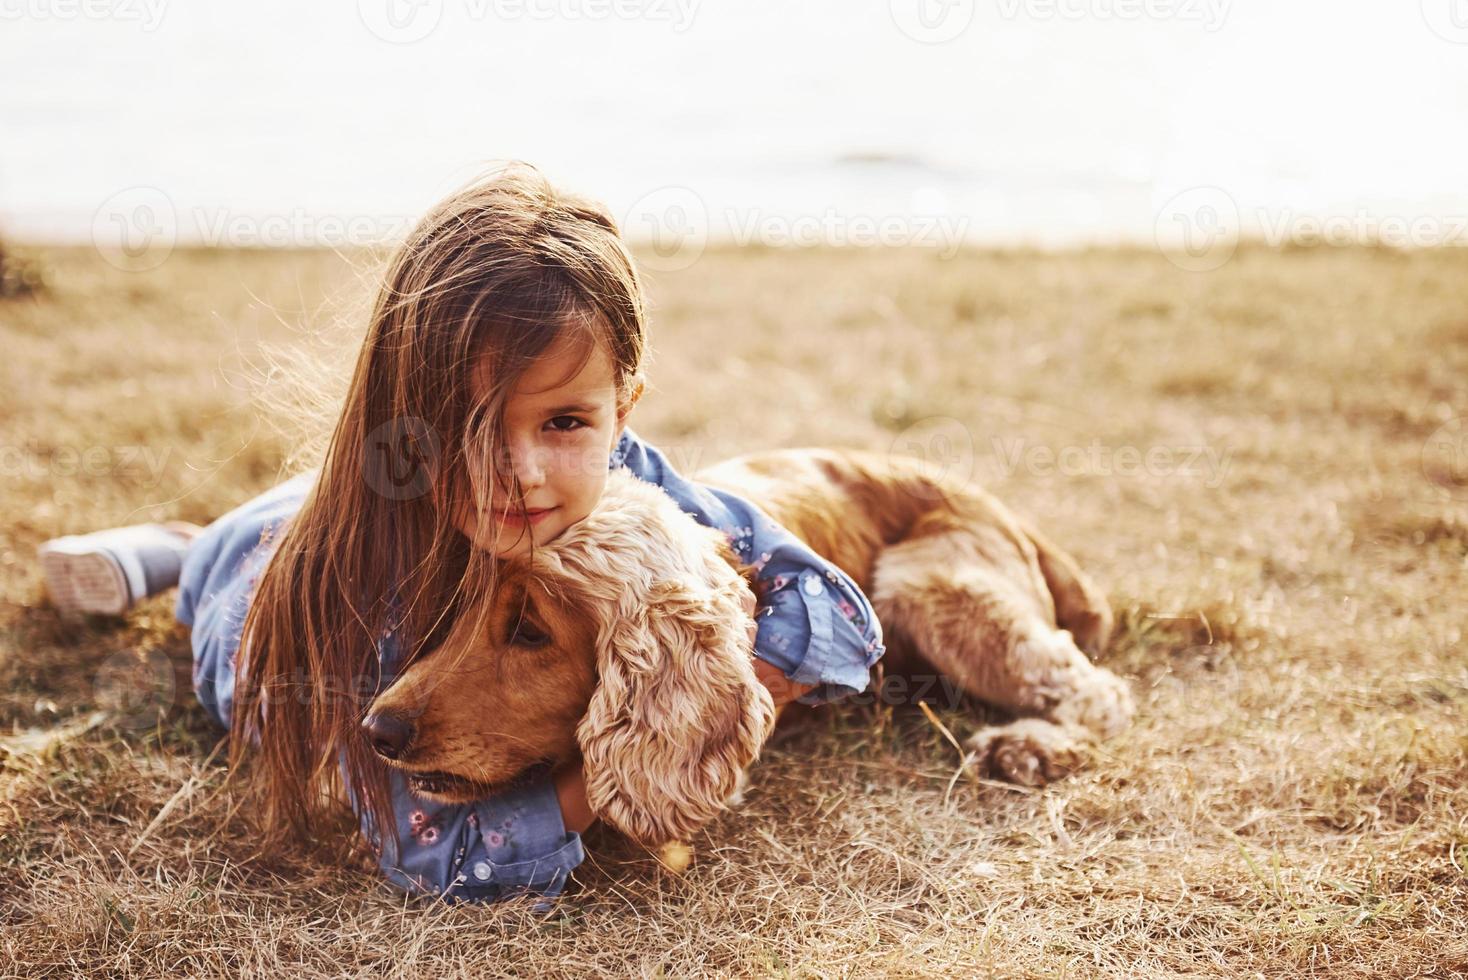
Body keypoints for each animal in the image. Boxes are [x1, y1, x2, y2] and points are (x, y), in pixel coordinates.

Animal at [358, 448, 1133, 845]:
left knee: (1097, 691)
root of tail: (1004, 510)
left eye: (529, 630)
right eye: (452, 613)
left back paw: (1027, 747)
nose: (377, 731)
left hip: (932, 590)